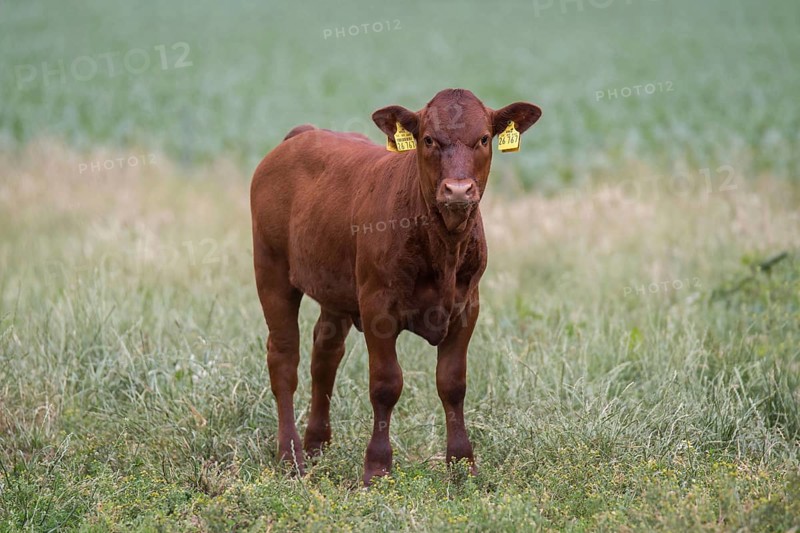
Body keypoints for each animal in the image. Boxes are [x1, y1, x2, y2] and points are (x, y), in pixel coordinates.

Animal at [250, 88, 542, 485]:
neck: (443, 247)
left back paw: (315, 446)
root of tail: (302, 134)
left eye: (483, 138)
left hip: (336, 290)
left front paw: (462, 464)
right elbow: (386, 385)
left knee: (324, 355)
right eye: (429, 139)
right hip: (272, 268)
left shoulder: (467, 307)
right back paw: (290, 455)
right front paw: (376, 467)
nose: (458, 190)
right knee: (283, 357)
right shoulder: (378, 307)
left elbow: (453, 383)